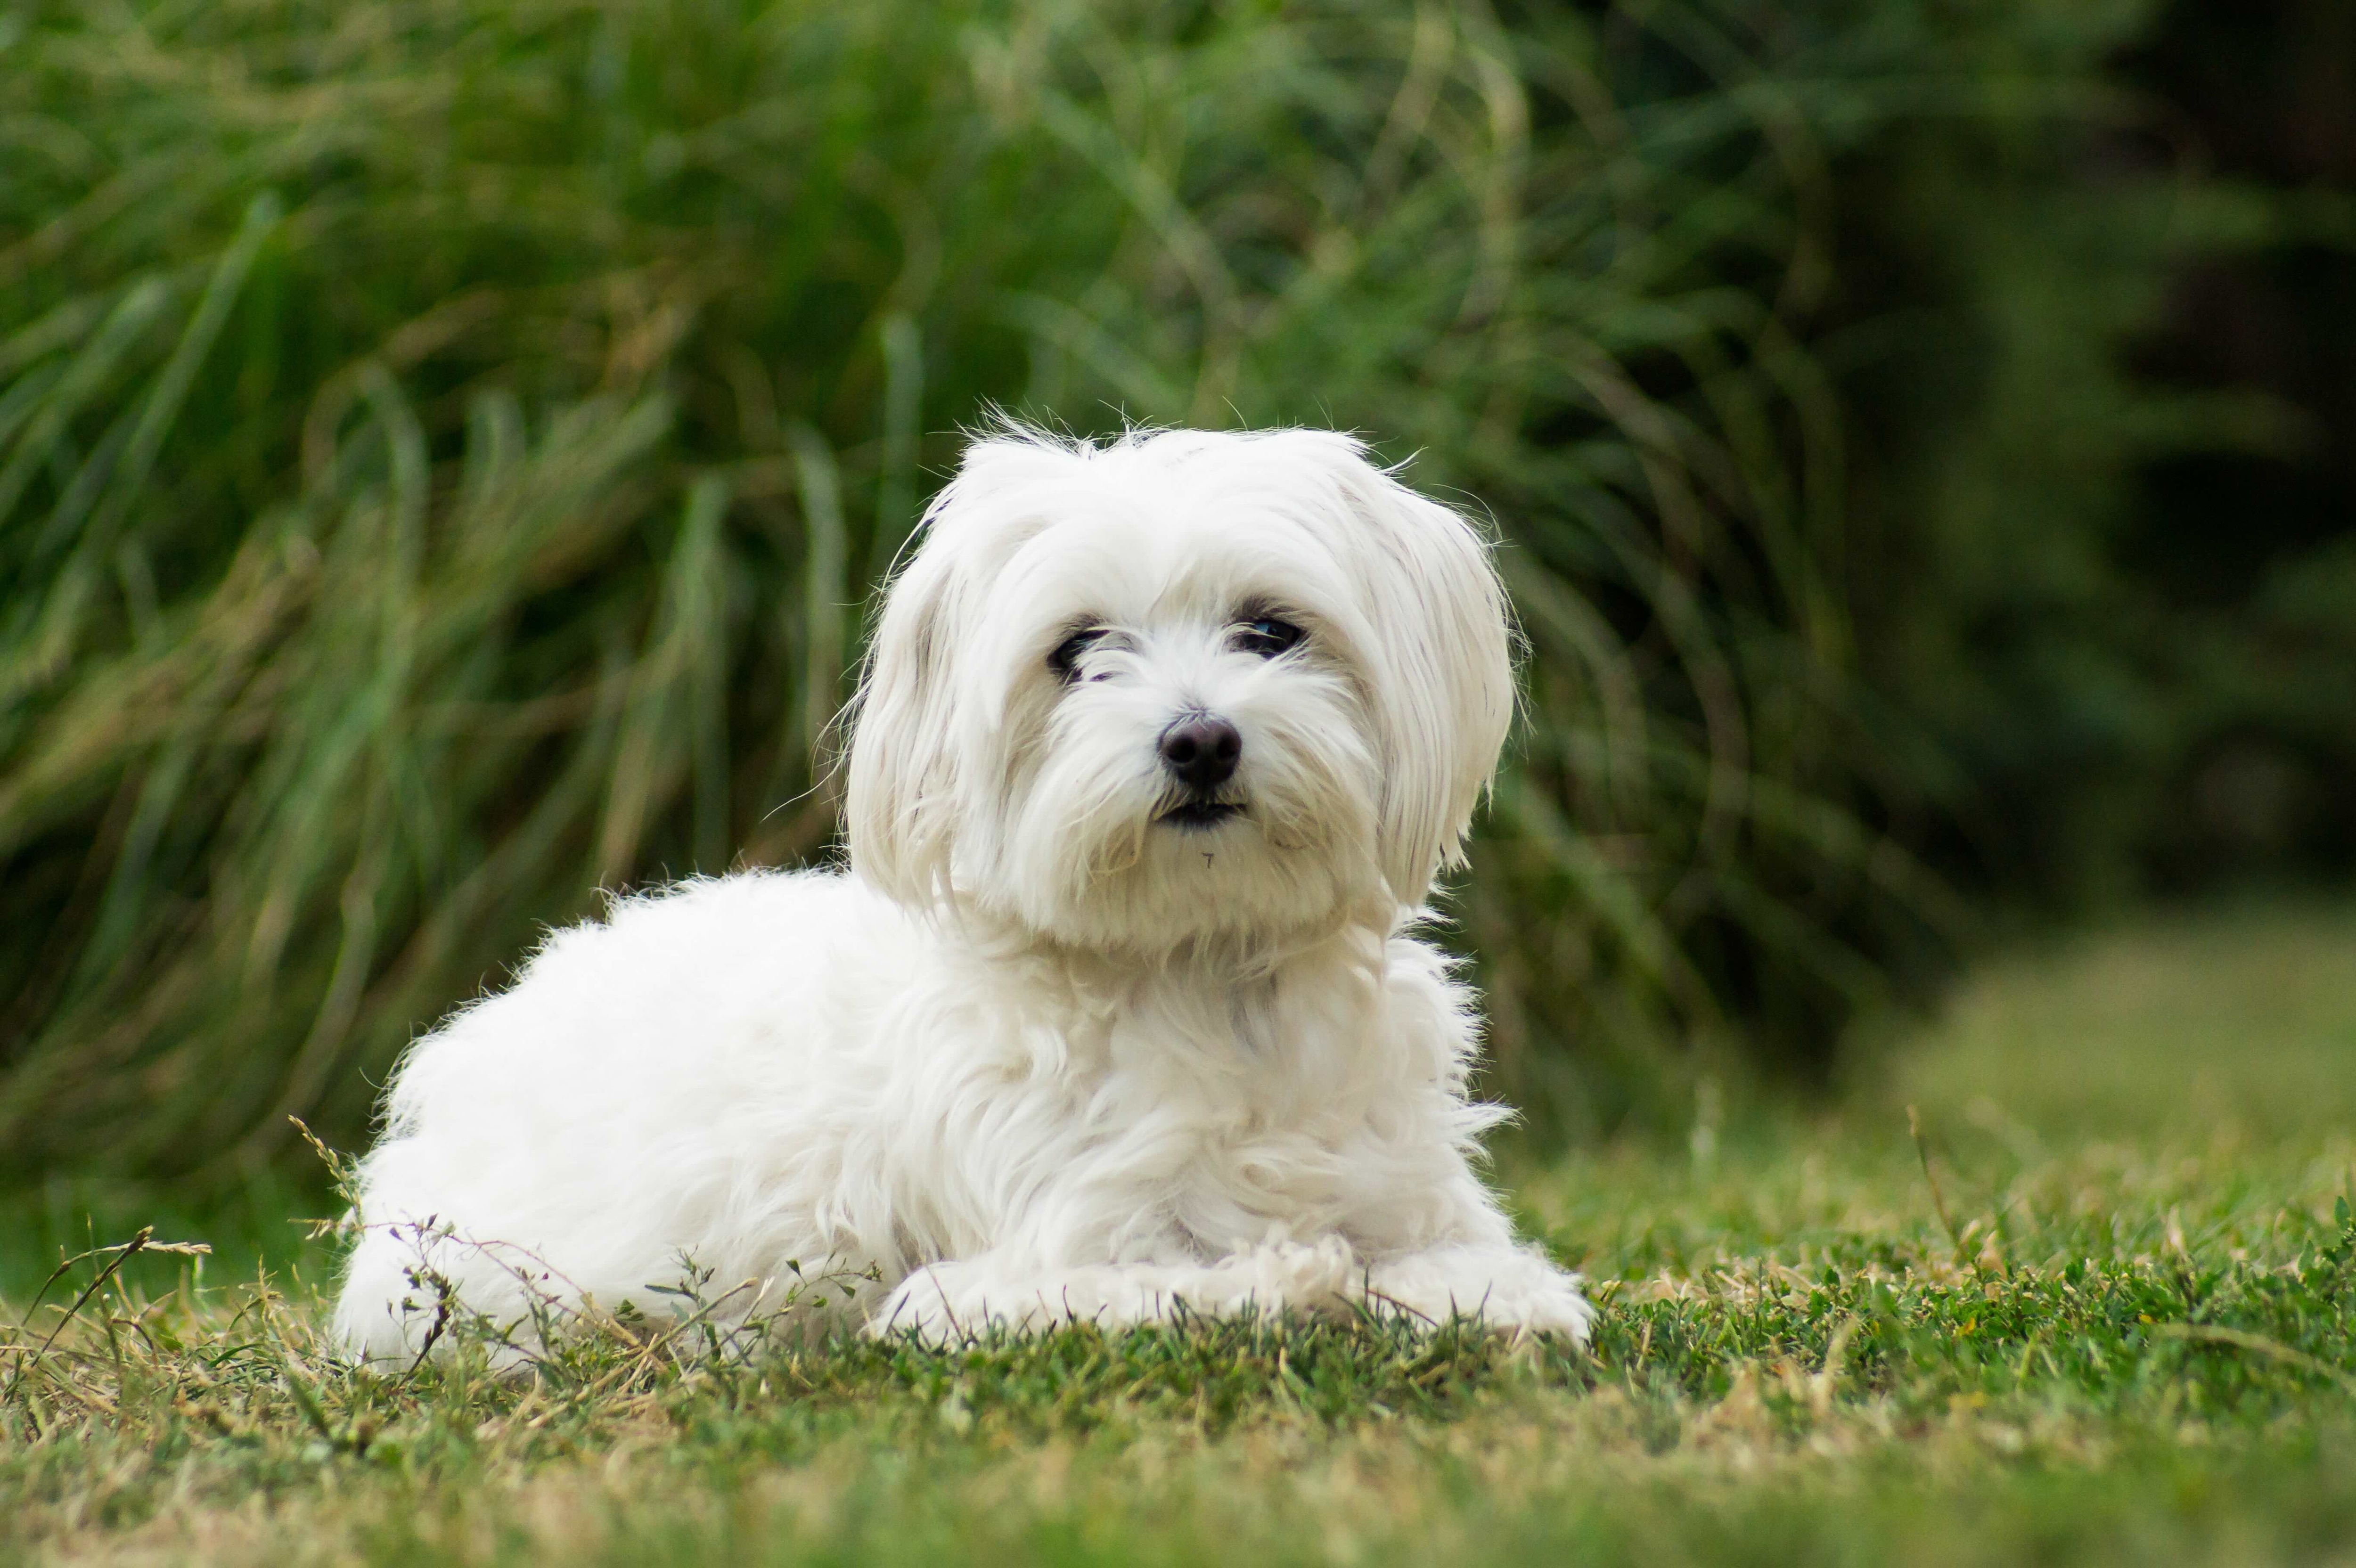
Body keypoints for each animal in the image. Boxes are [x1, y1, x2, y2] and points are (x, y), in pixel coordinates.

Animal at [332, 424, 1593, 1356]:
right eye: (1077, 651)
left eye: (1272, 629)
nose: (1200, 740)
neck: (1203, 974)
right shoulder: (1012, 1279)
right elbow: (1204, 1281)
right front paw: (1301, 1273)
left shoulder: (1411, 1187)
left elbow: (1490, 1273)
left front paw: (1468, 1294)